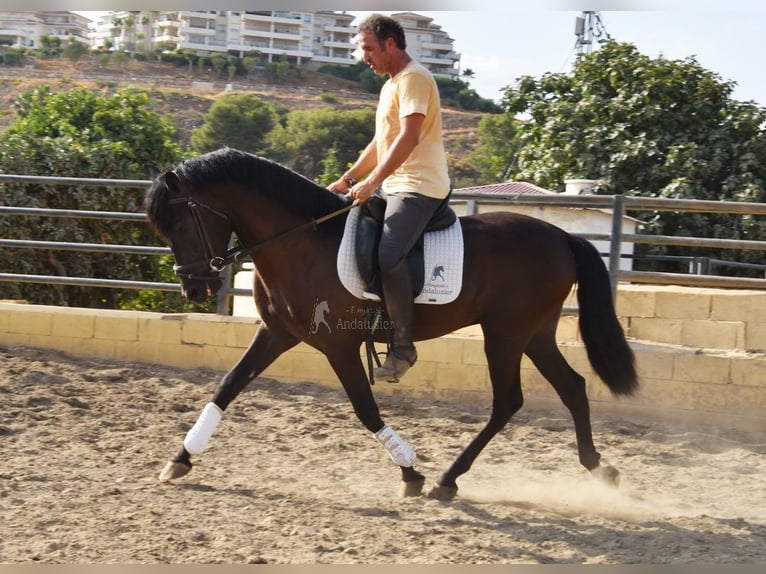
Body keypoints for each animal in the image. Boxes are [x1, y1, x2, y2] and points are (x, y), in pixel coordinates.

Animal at [141, 147, 640, 500]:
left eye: (181, 225)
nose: (194, 290)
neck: (301, 242)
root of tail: (563, 236)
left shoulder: (338, 347)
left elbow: (365, 409)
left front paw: (410, 472)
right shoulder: (277, 334)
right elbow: (226, 387)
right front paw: (180, 459)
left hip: (505, 335)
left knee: (508, 401)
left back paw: (447, 479)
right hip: (534, 334)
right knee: (572, 387)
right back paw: (601, 468)